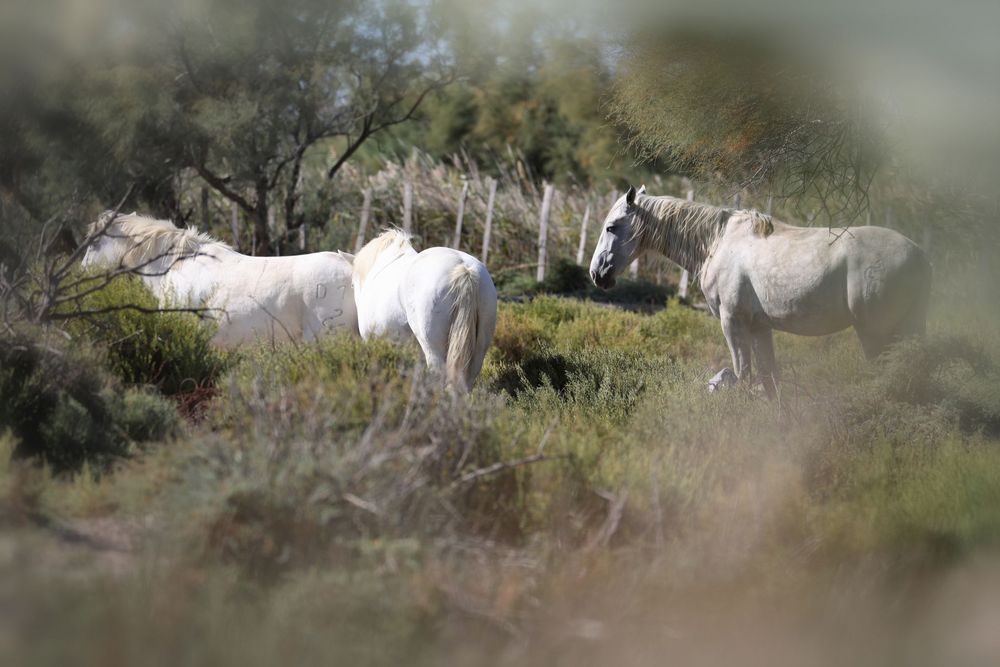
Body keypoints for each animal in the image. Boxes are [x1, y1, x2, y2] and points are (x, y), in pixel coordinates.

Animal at [588, 187, 932, 396]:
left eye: (611, 227)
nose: (596, 273)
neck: (718, 243)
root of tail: (918, 254)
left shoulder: (733, 324)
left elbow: (742, 375)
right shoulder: (759, 329)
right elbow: (769, 381)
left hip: (875, 332)